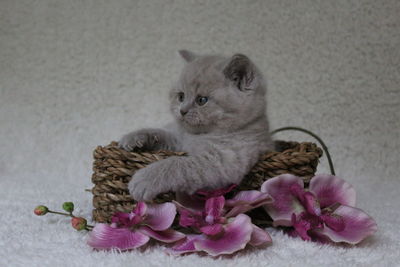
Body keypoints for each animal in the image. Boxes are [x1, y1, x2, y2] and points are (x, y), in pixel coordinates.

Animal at [119, 49, 274, 201]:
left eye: (202, 100)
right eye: (181, 96)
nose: (182, 111)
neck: (197, 136)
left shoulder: (224, 162)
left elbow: (177, 163)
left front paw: (144, 179)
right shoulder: (179, 141)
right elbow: (161, 133)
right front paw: (133, 138)